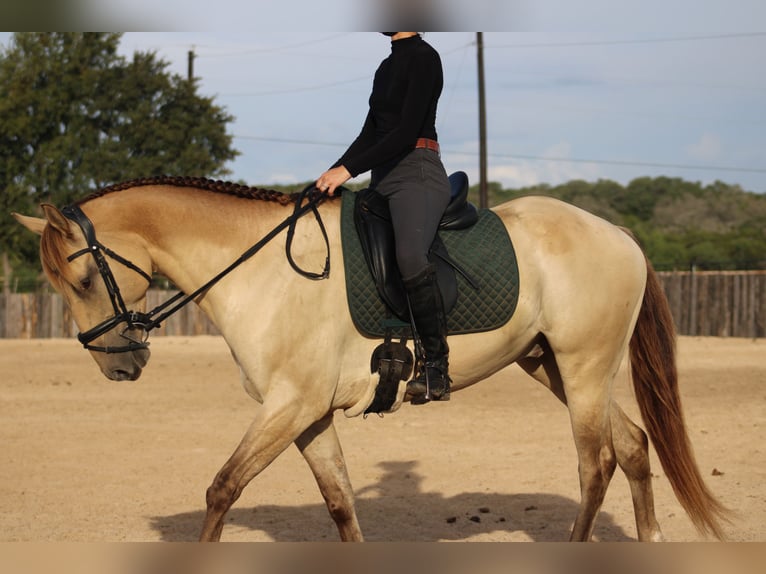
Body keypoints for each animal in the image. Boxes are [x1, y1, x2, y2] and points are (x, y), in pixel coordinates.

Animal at [13, 176, 729, 542]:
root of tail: (617, 233)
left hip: (582, 370)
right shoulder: (307, 414)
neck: (260, 269)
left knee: (596, 465)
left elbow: (222, 489)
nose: (117, 365)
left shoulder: (289, 405)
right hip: (554, 366)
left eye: (82, 280)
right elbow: (340, 502)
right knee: (632, 446)